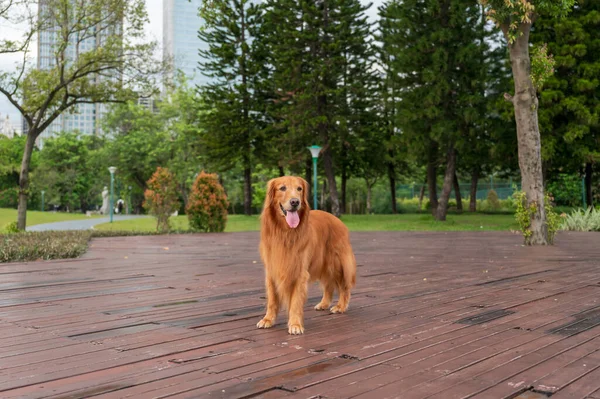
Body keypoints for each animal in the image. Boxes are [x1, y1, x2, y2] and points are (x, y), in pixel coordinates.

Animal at [254, 177, 356, 336]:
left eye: (299, 189)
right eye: (282, 188)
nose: (295, 202)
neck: (285, 232)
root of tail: (337, 219)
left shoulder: (299, 271)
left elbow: (295, 301)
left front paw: (295, 324)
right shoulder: (272, 270)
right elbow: (272, 299)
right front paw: (268, 319)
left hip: (337, 263)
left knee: (344, 286)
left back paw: (340, 306)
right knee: (329, 284)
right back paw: (324, 303)